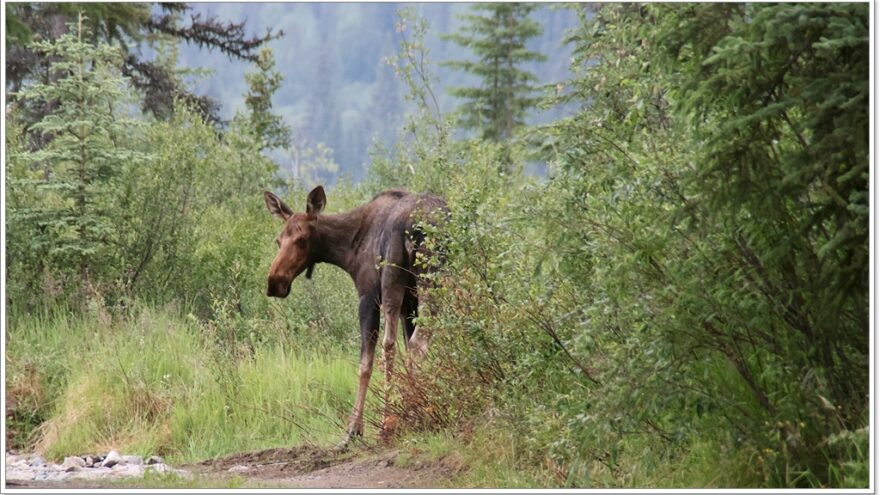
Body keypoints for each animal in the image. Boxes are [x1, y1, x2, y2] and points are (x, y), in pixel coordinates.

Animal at [262, 185, 446, 446]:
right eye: (278, 240)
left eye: (302, 240)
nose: (274, 282)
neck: (347, 250)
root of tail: (418, 225)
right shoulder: (409, 302)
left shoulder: (368, 294)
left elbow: (365, 363)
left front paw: (353, 429)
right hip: (432, 282)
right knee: (418, 342)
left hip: (397, 280)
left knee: (397, 345)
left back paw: (390, 423)